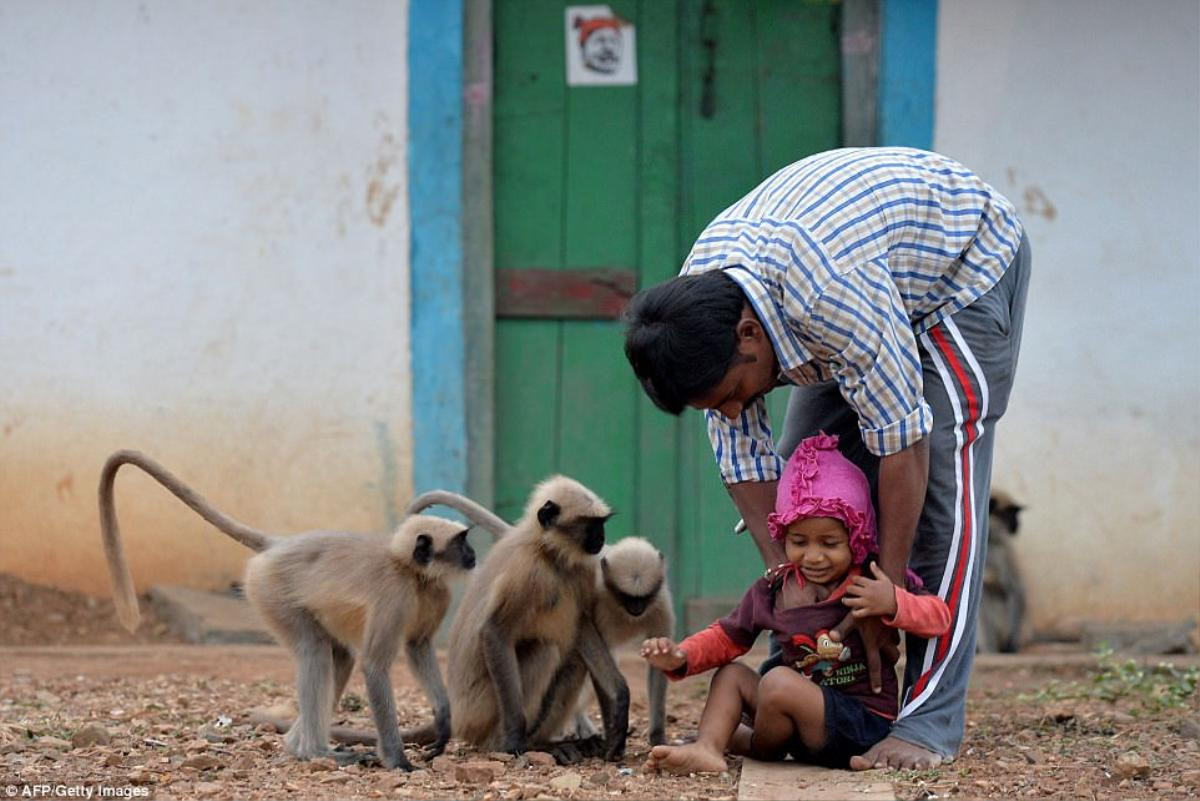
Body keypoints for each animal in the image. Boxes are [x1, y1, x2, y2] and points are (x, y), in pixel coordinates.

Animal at [98, 450, 475, 767]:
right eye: (461, 542)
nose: (473, 555)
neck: (413, 573)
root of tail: (279, 545)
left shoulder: (435, 593)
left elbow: (417, 645)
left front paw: (444, 719)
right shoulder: (395, 595)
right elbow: (375, 667)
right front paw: (397, 760)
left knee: (338, 656)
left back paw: (298, 746)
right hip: (269, 591)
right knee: (315, 650)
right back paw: (314, 751)